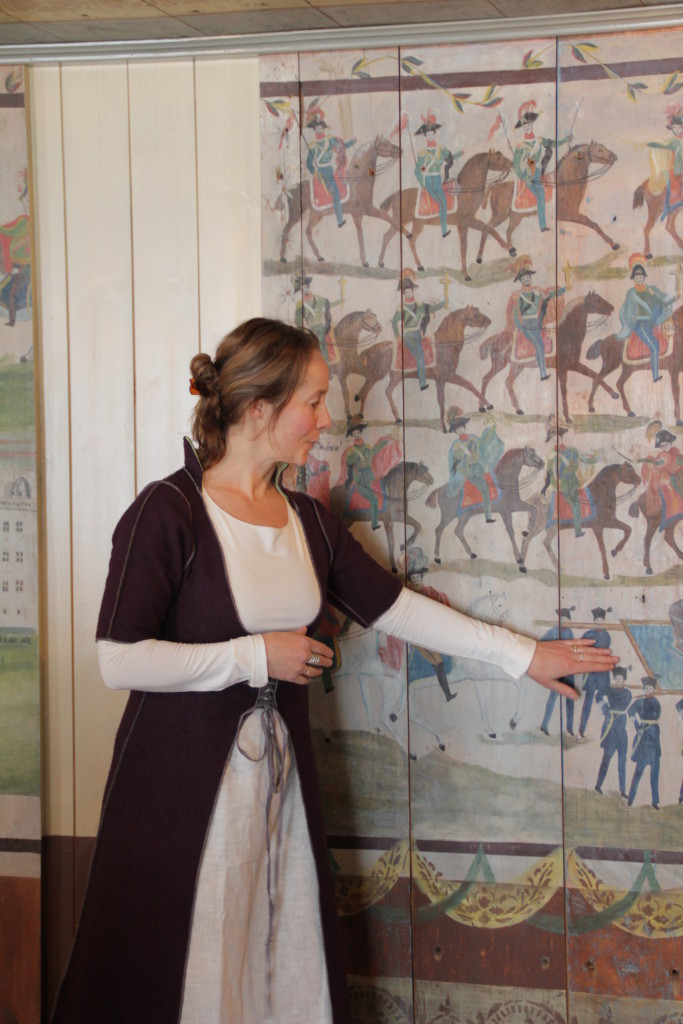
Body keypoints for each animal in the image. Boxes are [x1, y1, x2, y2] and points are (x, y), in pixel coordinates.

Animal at [275, 135, 404, 267]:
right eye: (385, 145)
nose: (399, 150)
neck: (357, 181)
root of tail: (288, 188)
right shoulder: (361, 212)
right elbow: (365, 232)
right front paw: (365, 261)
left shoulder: (364, 211)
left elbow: (386, 219)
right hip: (296, 214)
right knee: (286, 230)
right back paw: (282, 258)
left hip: (316, 215)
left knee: (308, 232)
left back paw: (319, 257)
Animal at [376, 149, 514, 276]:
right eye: (498, 158)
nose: (512, 163)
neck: (465, 189)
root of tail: (395, 195)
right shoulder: (467, 221)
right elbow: (490, 229)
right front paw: (510, 248)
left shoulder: (463, 225)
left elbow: (465, 245)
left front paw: (467, 272)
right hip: (402, 221)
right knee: (397, 238)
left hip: (414, 224)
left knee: (400, 238)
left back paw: (396, 264)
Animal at [479, 290, 617, 422]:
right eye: (597, 300)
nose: (612, 308)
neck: (567, 335)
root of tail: (496, 338)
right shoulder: (564, 368)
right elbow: (565, 390)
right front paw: (567, 417)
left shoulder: (573, 365)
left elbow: (595, 375)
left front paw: (612, 395)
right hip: (500, 364)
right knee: (486, 379)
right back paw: (483, 407)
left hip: (517, 367)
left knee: (508, 382)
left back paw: (518, 409)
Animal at [481, 141, 619, 260]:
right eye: (600, 149)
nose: (614, 156)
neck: (564, 182)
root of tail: (495, 187)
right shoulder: (567, 214)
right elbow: (592, 223)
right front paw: (613, 244)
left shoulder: (572, 214)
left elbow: (593, 224)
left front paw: (613, 243)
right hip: (500, 214)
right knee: (487, 228)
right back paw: (481, 257)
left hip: (515, 217)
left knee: (508, 230)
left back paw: (511, 250)